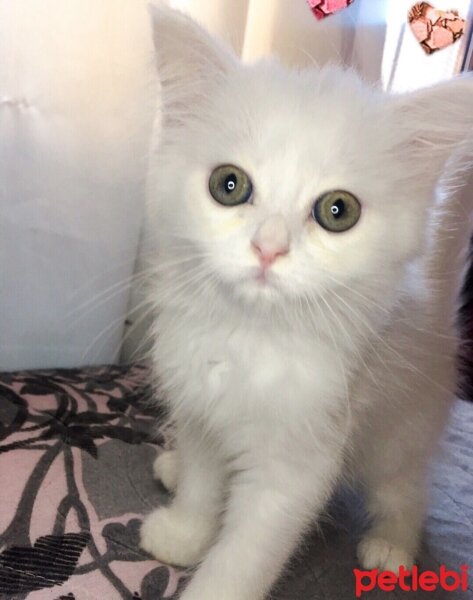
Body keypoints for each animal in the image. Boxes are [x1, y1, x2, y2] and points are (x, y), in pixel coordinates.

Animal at [140, 5, 472, 600]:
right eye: (229, 185)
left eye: (337, 210)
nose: (268, 248)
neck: (249, 337)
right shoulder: (198, 406)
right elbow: (203, 484)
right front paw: (184, 531)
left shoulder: (295, 465)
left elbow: (244, 556)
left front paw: (210, 581)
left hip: (399, 429)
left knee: (406, 488)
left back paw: (392, 546)